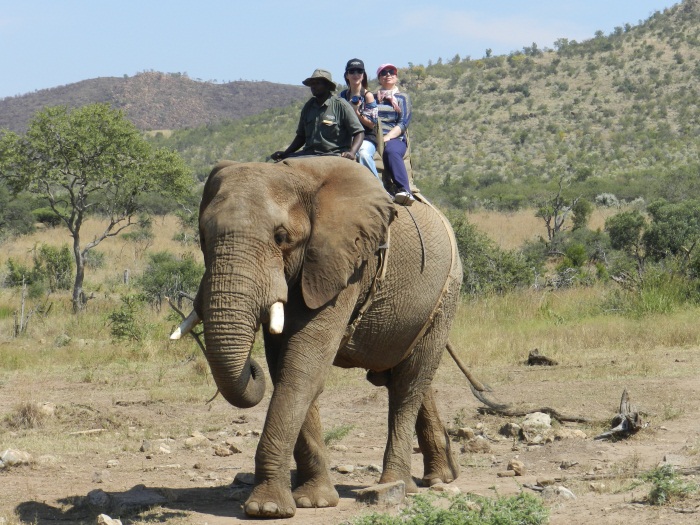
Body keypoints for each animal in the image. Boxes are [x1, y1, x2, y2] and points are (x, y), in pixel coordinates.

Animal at [172, 156, 462, 516]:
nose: (251, 368)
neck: (294, 174)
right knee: (411, 377)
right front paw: (314, 501)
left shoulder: (346, 264)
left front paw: (267, 509)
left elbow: (302, 367)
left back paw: (397, 484)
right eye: (202, 237)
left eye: (281, 237)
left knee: (408, 384)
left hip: (446, 293)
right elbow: (286, 365)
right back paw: (441, 478)